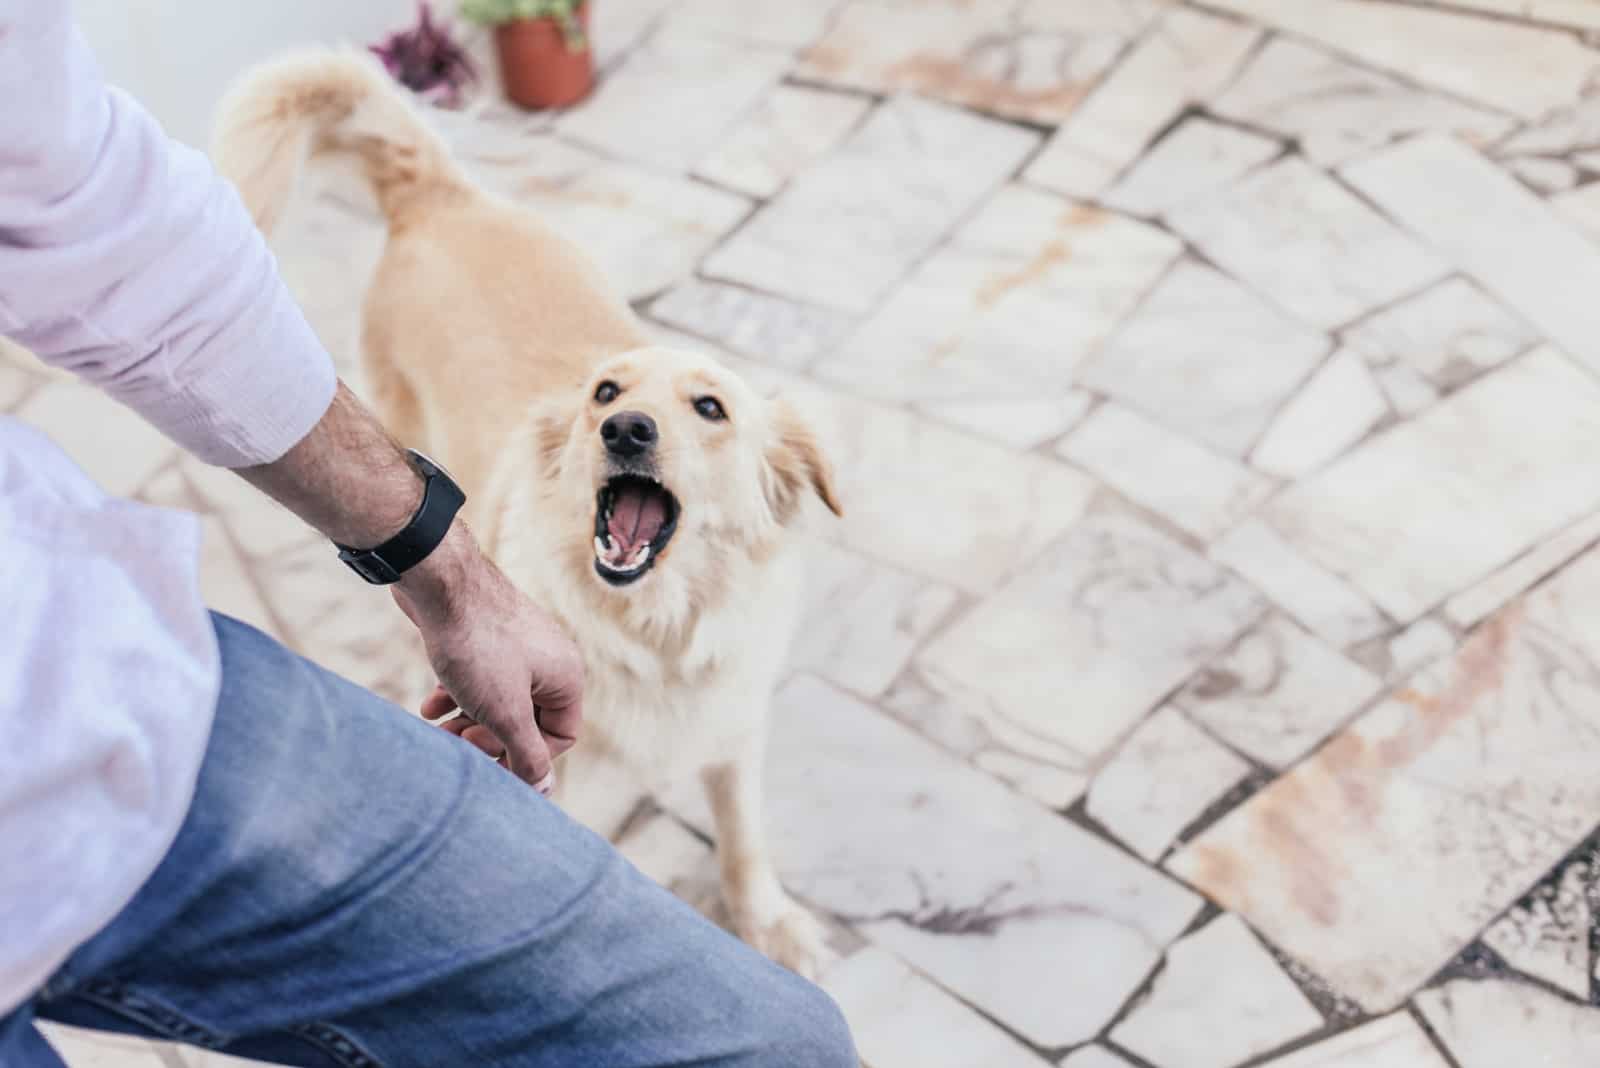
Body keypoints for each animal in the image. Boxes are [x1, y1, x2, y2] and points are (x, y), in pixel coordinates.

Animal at [216, 54, 851, 978]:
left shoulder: (732, 727)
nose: (627, 430)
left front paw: (768, 924)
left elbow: (743, 836)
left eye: (710, 408)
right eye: (606, 394)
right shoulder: (556, 768)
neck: (653, 632)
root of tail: (438, 196)